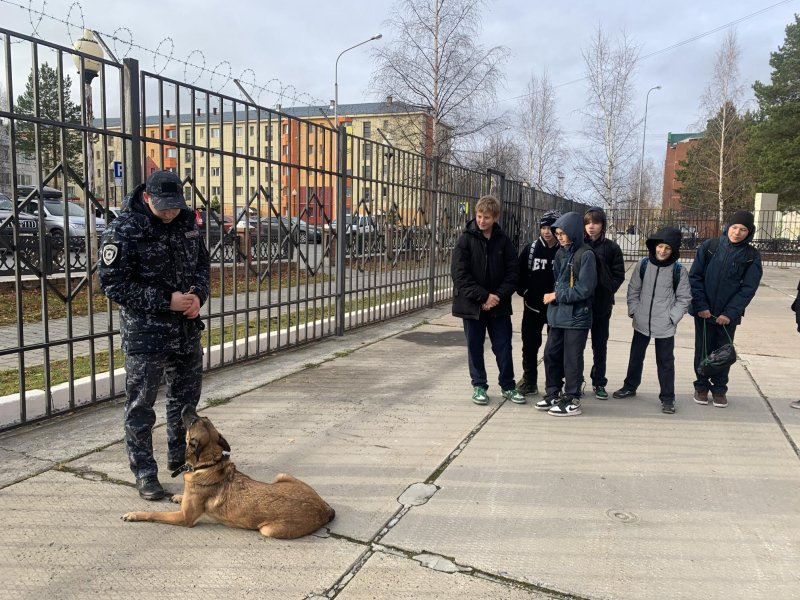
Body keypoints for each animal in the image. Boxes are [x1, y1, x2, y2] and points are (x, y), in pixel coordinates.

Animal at [122, 404, 334, 540]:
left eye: (193, 422)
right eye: (202, 418)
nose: (186, 407)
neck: (208, 464)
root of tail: (325, 509)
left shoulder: (184, 517)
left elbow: (154, 514)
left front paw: (134, 514)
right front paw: (177, 496)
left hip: (268, 530)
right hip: (281, 476)